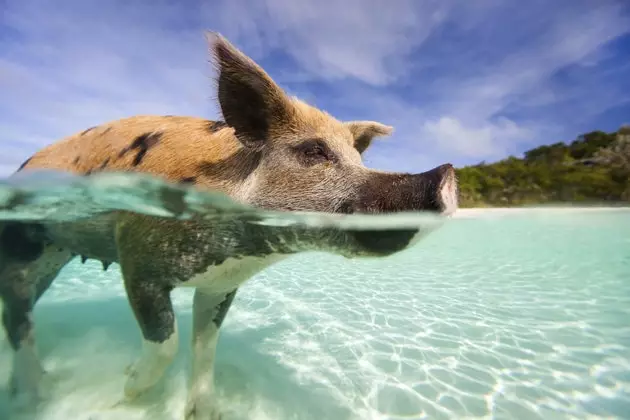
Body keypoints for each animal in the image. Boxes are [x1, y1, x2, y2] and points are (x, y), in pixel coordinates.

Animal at [0, 31, 456, 418]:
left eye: (359, 159)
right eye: (313, 151)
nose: (446, 173)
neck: (245, 248)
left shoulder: (220, 284)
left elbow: (206, 345)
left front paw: (207, 412)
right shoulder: (136, 259)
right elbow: (166, 341)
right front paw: (126, 390)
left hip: (53, 255)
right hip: (23, 246)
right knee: (18, 317)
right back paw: (36, 394)